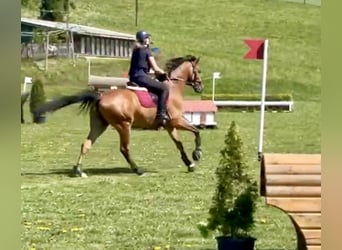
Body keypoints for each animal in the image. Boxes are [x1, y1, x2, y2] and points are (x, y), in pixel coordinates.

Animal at [35, 54, 203, 177]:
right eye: (198, 71)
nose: (200, 87)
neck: (173, 88)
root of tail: (100, 97)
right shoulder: (177, 121)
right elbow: (196, 131)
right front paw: (197, 154)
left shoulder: (170, 125)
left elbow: (179, 144)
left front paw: (189, 163)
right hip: (124, 125)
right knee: (124, 148)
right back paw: (137, 169)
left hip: (99, 125)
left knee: (86, 144)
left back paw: (78, 170)